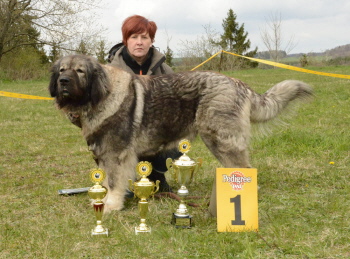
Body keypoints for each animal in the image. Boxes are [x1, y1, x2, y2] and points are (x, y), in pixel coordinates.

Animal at [48, 54, 312, 215]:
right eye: (62, 70)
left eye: (80, 71)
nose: (63, 81)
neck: (100, 96)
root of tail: (239, 84)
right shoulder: (103, 154)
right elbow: (103, 181)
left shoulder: (116, 155)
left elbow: (113, 183)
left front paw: (110, 205)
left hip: (221, 140)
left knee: (245, 169)